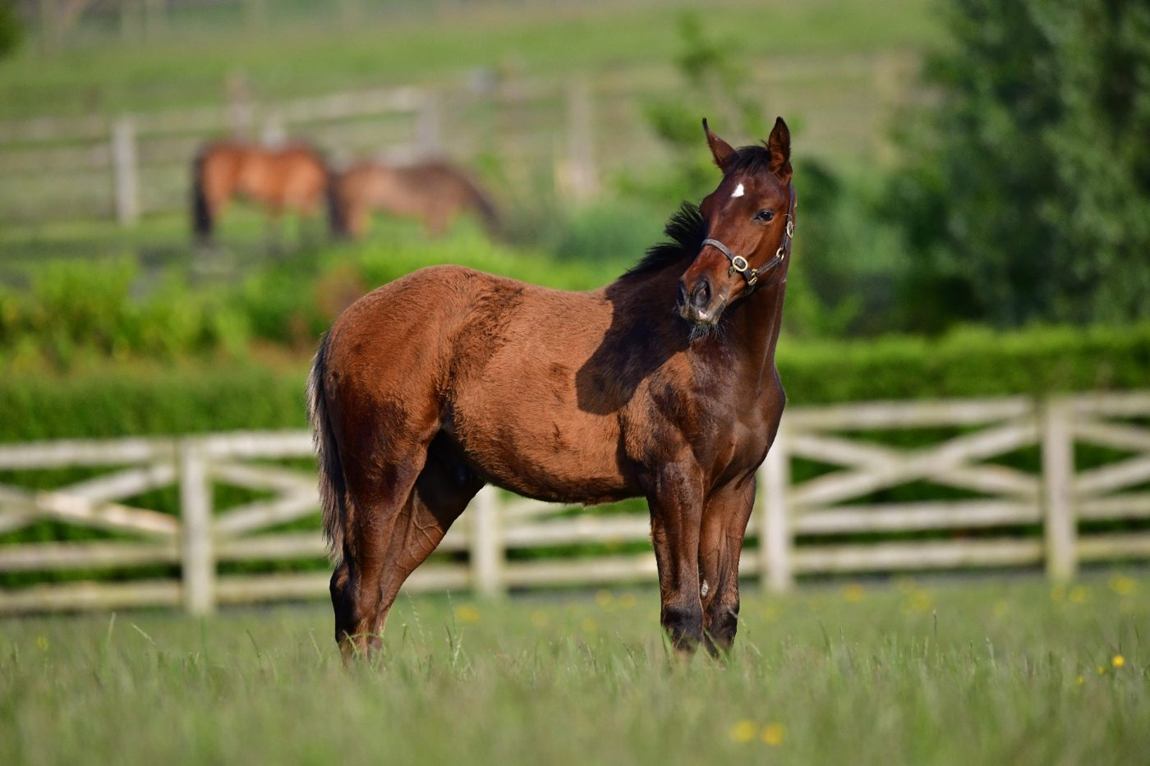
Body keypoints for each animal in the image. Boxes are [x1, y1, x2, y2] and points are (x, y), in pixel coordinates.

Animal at [191, 139, 347, 245]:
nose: (342, 239)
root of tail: (207, 152)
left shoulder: (282, 204)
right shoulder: (285, 203)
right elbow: (282, 231)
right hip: (218, 198)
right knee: (210, 224)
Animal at [334, 158, 500, 239]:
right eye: (494, 224)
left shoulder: (439, 213)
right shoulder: (437, 210)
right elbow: (435, 234)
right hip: (357, 205)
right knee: (356, 227)